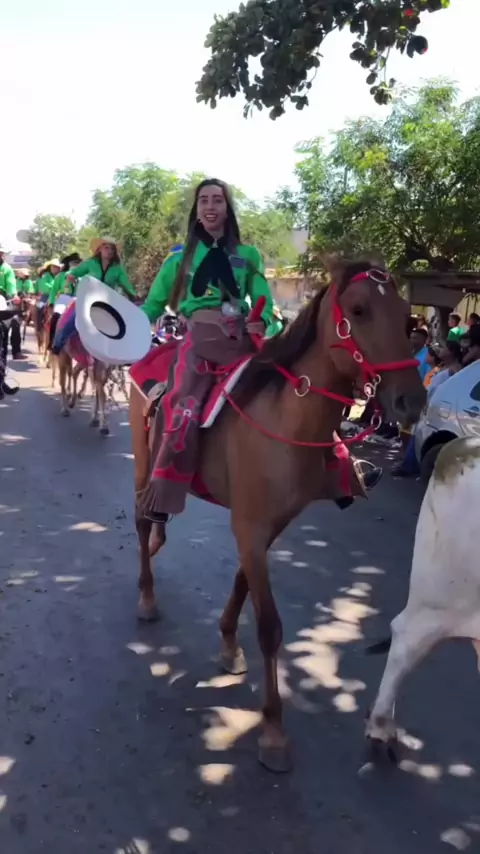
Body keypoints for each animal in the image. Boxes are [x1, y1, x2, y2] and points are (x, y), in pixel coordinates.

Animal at [129, 258, 426, 772]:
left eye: (409, 317)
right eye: (360, 310)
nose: (412, 401)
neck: (287, 419)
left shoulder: (269, 526)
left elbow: (242, 584)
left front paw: (229, 644)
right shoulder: (248, 527)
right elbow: (269, 626)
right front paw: (272, 731)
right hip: (146, 464)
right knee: (143, 520)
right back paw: (147, 598)